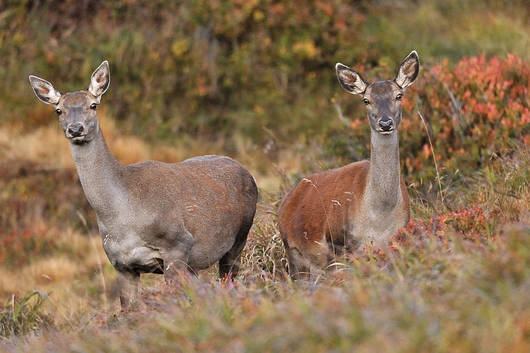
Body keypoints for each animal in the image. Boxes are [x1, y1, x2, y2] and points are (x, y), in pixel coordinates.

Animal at [29, 61, 258, 308]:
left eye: (93, 105)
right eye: (58, 110)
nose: (75, 129)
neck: (124, 216)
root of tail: (246, 171)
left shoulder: (179, 245)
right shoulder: (120, 263)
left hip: (239, 238)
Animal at [278, 51, 418, 278]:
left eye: (399, 95)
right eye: (366, 100)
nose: (385, 123)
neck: (379, 219)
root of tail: (285, 202)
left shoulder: (397, 238)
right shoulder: (338, 242)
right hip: (294, 251)